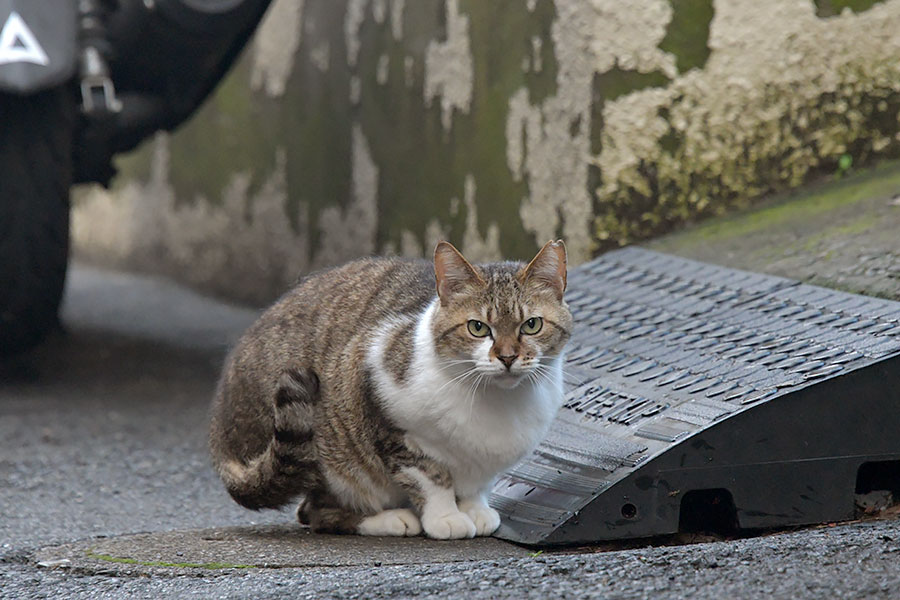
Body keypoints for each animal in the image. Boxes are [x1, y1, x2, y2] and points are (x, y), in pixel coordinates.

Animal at [209, 239, 568, 540]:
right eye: (478, 328)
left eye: (532, 325)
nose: (507, 357)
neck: (496, 401)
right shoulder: (380, 402)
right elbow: (431, 477)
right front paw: (445, 517)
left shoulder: (484, 462)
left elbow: (475, 485)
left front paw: (475, 509)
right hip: (326, 442)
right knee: (317, 511)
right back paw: (390, 519)